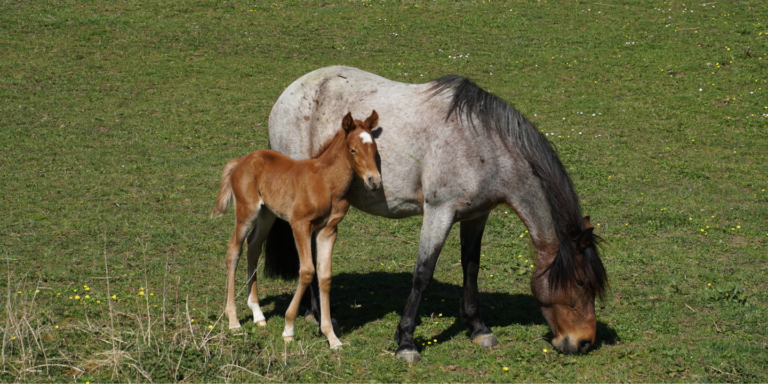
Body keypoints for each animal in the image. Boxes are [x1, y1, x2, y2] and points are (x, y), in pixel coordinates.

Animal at [212, 109, 380, 350]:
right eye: (352, 149)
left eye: (374, 148)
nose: (374, 181)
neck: (326, 182)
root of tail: (241, 161)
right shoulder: (300, 224)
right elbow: (307, 271)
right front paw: (288, 328)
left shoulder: (329, 230)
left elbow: (325, 276)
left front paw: (332, 337)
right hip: (246, 211)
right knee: (234, 250)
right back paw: (233, 320)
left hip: (267, 214)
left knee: (253, 247)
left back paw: (257, 313)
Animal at [260, 67, 608, 364]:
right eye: (580, 282)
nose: (584, 342)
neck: (483, 144)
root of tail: (288, 94)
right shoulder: (439, 212)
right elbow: (423, 274)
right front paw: (406, 342)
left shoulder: (476, 215)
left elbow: (471, 268)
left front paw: (478, 328)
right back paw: (320, 316)